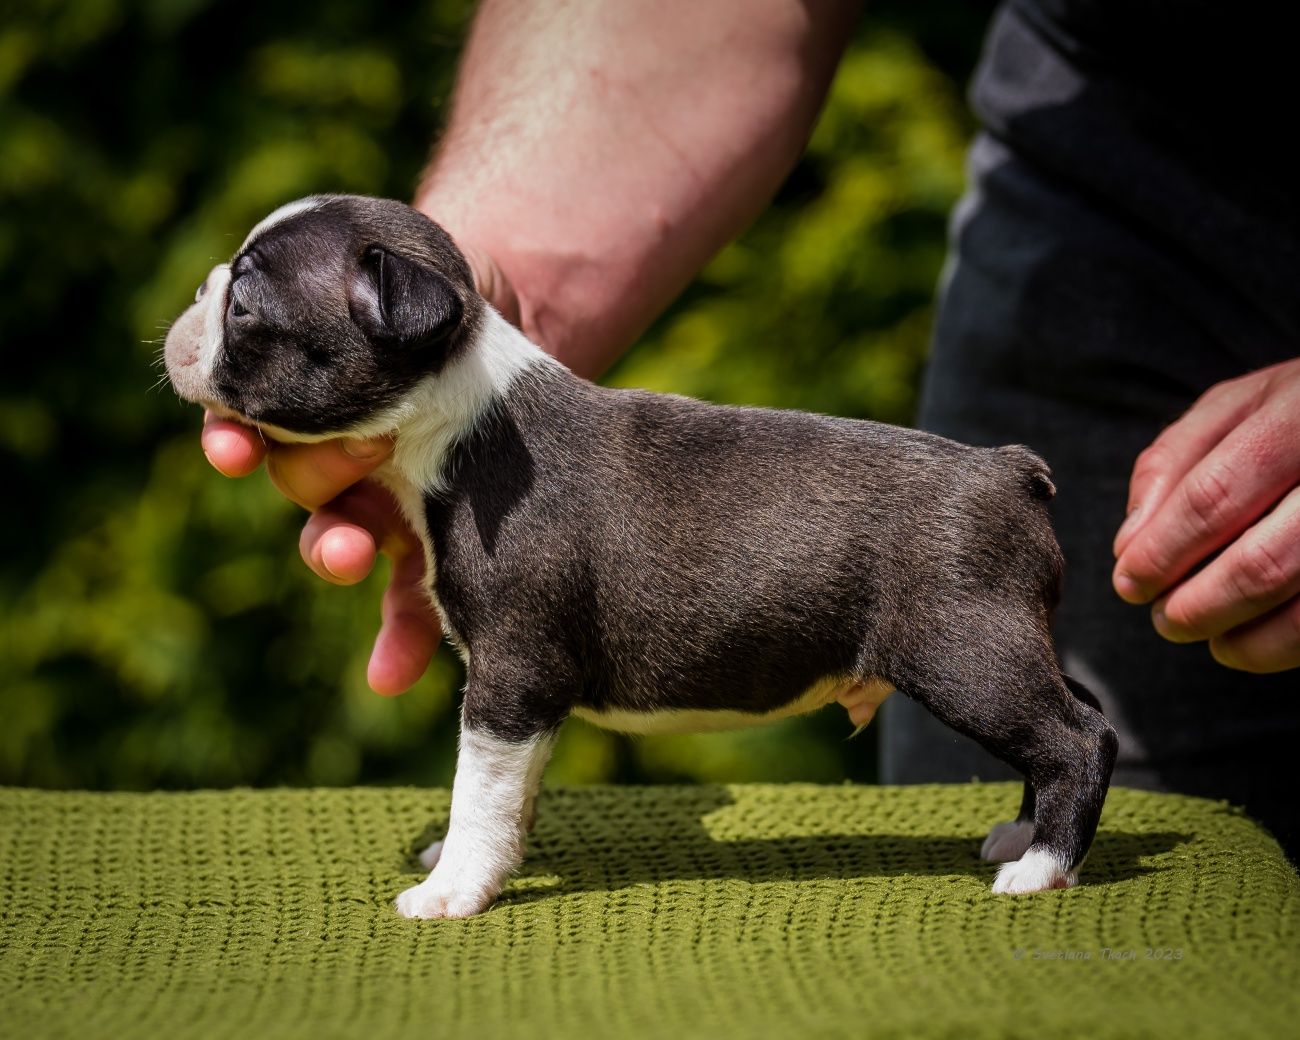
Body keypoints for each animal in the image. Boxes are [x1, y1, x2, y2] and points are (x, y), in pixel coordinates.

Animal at [162, 192, 1118, 920]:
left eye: (244, 306)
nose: (197, 287)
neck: (458, 425)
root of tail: (1007, 469)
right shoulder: (525, 695)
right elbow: (511, 791)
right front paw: (485, 858)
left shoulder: (511, 673)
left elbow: (481, 784)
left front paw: (454, 888)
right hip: (1008, 638)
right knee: (1075, 708)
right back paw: (1025, 834)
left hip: (965, 651)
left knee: (1079, 736)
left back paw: (1042, 867)